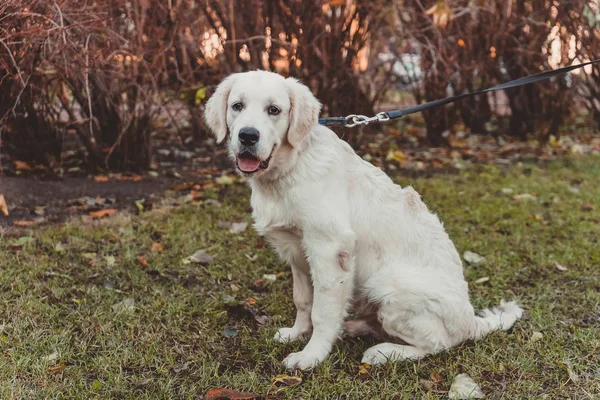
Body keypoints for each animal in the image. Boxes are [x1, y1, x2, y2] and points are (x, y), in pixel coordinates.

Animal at [205, 69, 520, 368]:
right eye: (237, 106)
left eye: (274, 109)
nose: (248, 136)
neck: (290, 168)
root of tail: (471, 320)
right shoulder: (297, 252)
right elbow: (303, 300)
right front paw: (297, 333)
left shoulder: (329, 248)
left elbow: (322, 311)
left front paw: (312, 356)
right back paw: (354, 328)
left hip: (387, 284)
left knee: (438, 343)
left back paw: (383, 352)